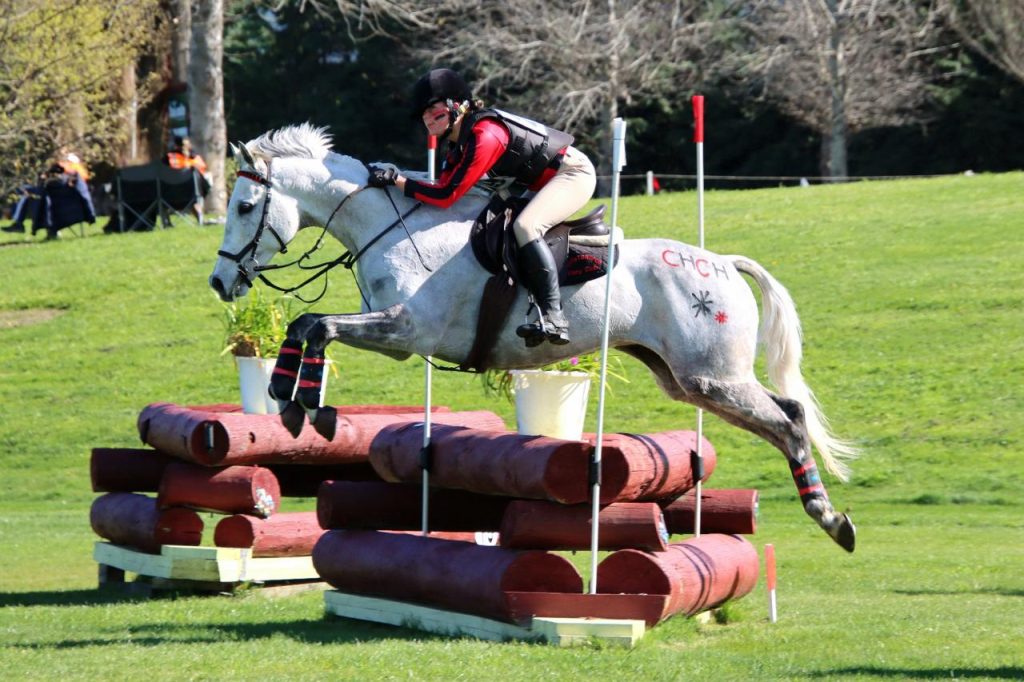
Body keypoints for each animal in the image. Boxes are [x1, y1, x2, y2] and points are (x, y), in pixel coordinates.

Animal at [208, 123, 858, 552]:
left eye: (243, 206)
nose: (219, 281)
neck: (387, 225)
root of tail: (722, 262)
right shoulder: (393, 329)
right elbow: (304, 326)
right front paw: (291, 405)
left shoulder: (406, 330)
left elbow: (318, 326)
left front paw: (306, 411)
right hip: (686, 381)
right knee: (786, 413)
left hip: (712, 377)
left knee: (789, 421)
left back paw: (831, 519)